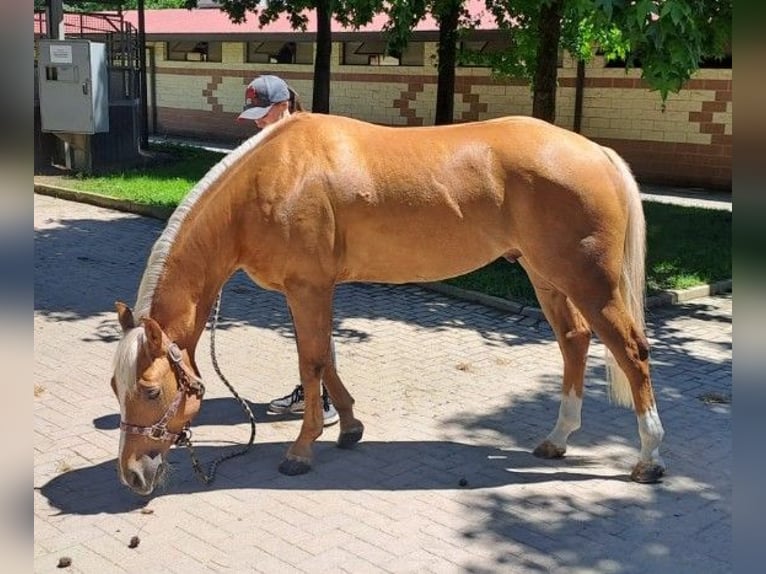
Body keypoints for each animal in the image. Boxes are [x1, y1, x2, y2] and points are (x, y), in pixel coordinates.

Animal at [109, 112, 664, 496]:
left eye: (151, 391)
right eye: (115, 387)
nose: (133, 474)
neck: (270, 179)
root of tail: (597, 153)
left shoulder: (308, 287)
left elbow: (312, 361)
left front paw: (301, 450)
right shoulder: (313, 290)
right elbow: (327, 358)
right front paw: (350, 427)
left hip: (589, 283)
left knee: (631, 352)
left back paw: (648, 458)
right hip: (546, 276)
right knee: (575, 341)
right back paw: (559, 438)